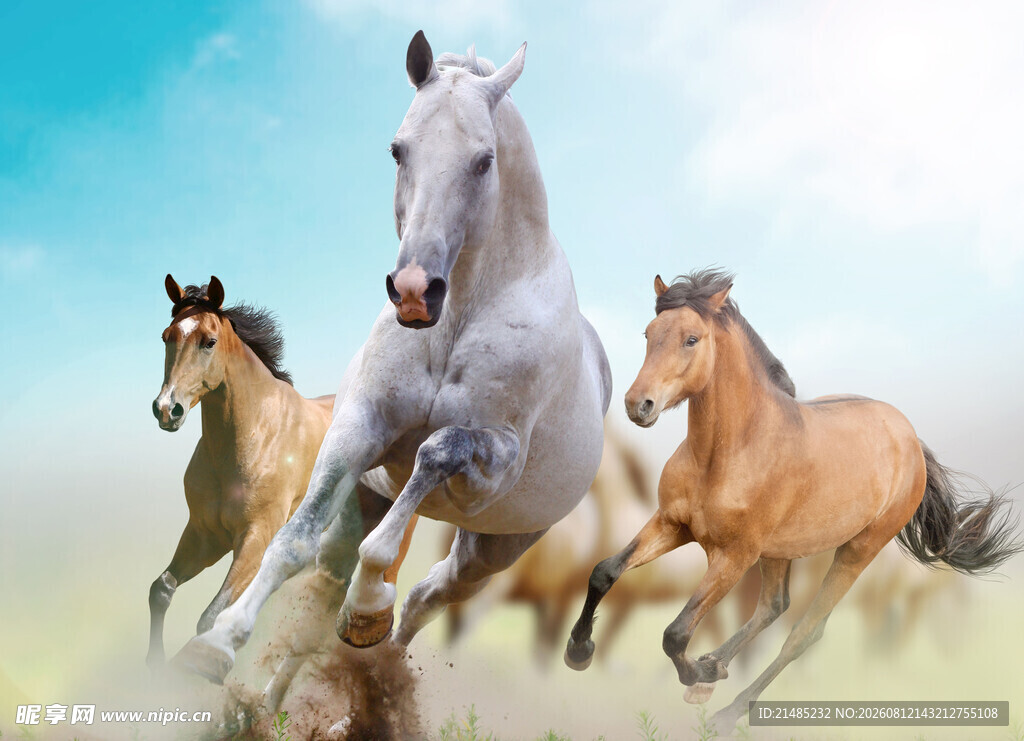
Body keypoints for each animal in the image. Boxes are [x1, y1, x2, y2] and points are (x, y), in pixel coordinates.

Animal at [150, 276, 417, 707]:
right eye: (166, 337)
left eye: (209, 341)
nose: (166, 409)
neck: (254, 435)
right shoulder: (205, 535)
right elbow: (162, 589)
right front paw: (154, 670)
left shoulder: (255, 538)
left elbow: (210, 615)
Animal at [173, 31, 611, 685]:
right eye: (398, 150)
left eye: (484, 161)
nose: (413, 291)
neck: (457, 320)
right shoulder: (360, 427)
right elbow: (294, 539)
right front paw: (218, 643)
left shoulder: (491, 464)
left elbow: (434, 455)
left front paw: (367, 604)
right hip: (371, 499)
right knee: (327, 591)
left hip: (492, 548)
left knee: (428, 596)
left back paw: (372, 642)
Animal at [565, 269, 1020, 732]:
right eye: (649, 333)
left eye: (691, 339)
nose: (637, 404)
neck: (727, 453)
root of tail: (910, 439)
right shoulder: (672, 525)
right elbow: (604, 572)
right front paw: (579, 652)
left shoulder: (734, 556)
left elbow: (675, 632)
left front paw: (698, 671)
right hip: (780, 550)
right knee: (773, 606)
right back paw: (713, 674)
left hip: (856, 551)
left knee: (804, 631)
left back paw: (727, 710)